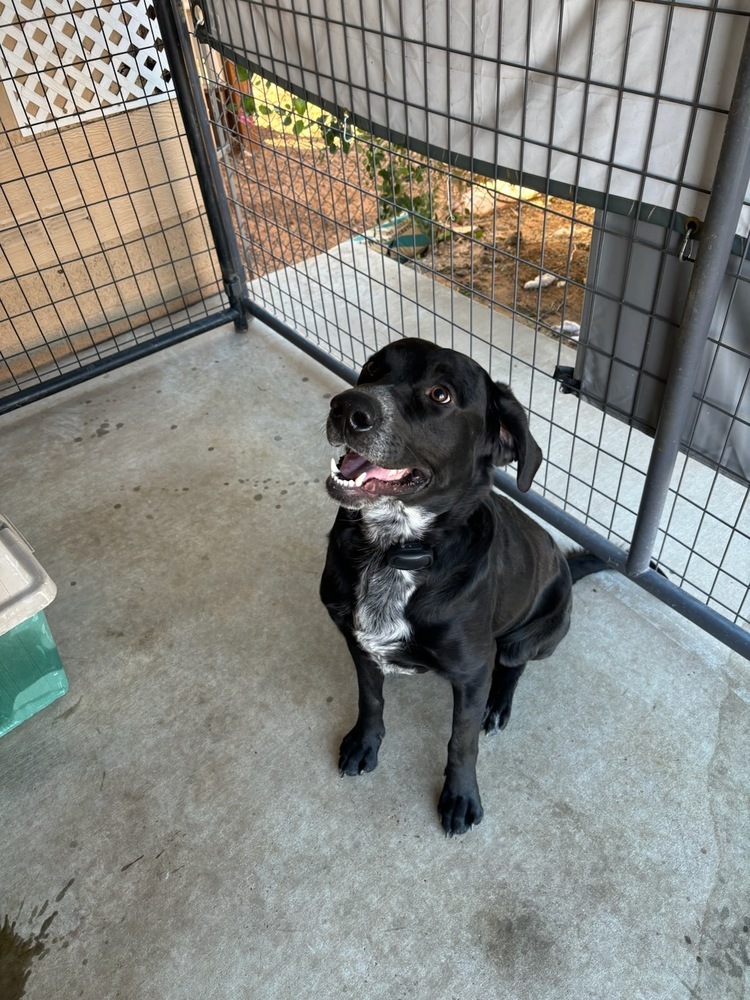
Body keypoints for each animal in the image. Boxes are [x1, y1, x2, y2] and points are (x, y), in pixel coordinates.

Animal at [320, 338, 604, 836]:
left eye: (441, 395)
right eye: (372, 367)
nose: (347, 406)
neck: (394, 549)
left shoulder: (472, 672)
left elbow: (462, 741)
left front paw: (461, 795)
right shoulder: (357, 642)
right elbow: (370, 699)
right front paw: (365, 743)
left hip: (530, 637)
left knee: (513, 666)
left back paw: (498, 706)